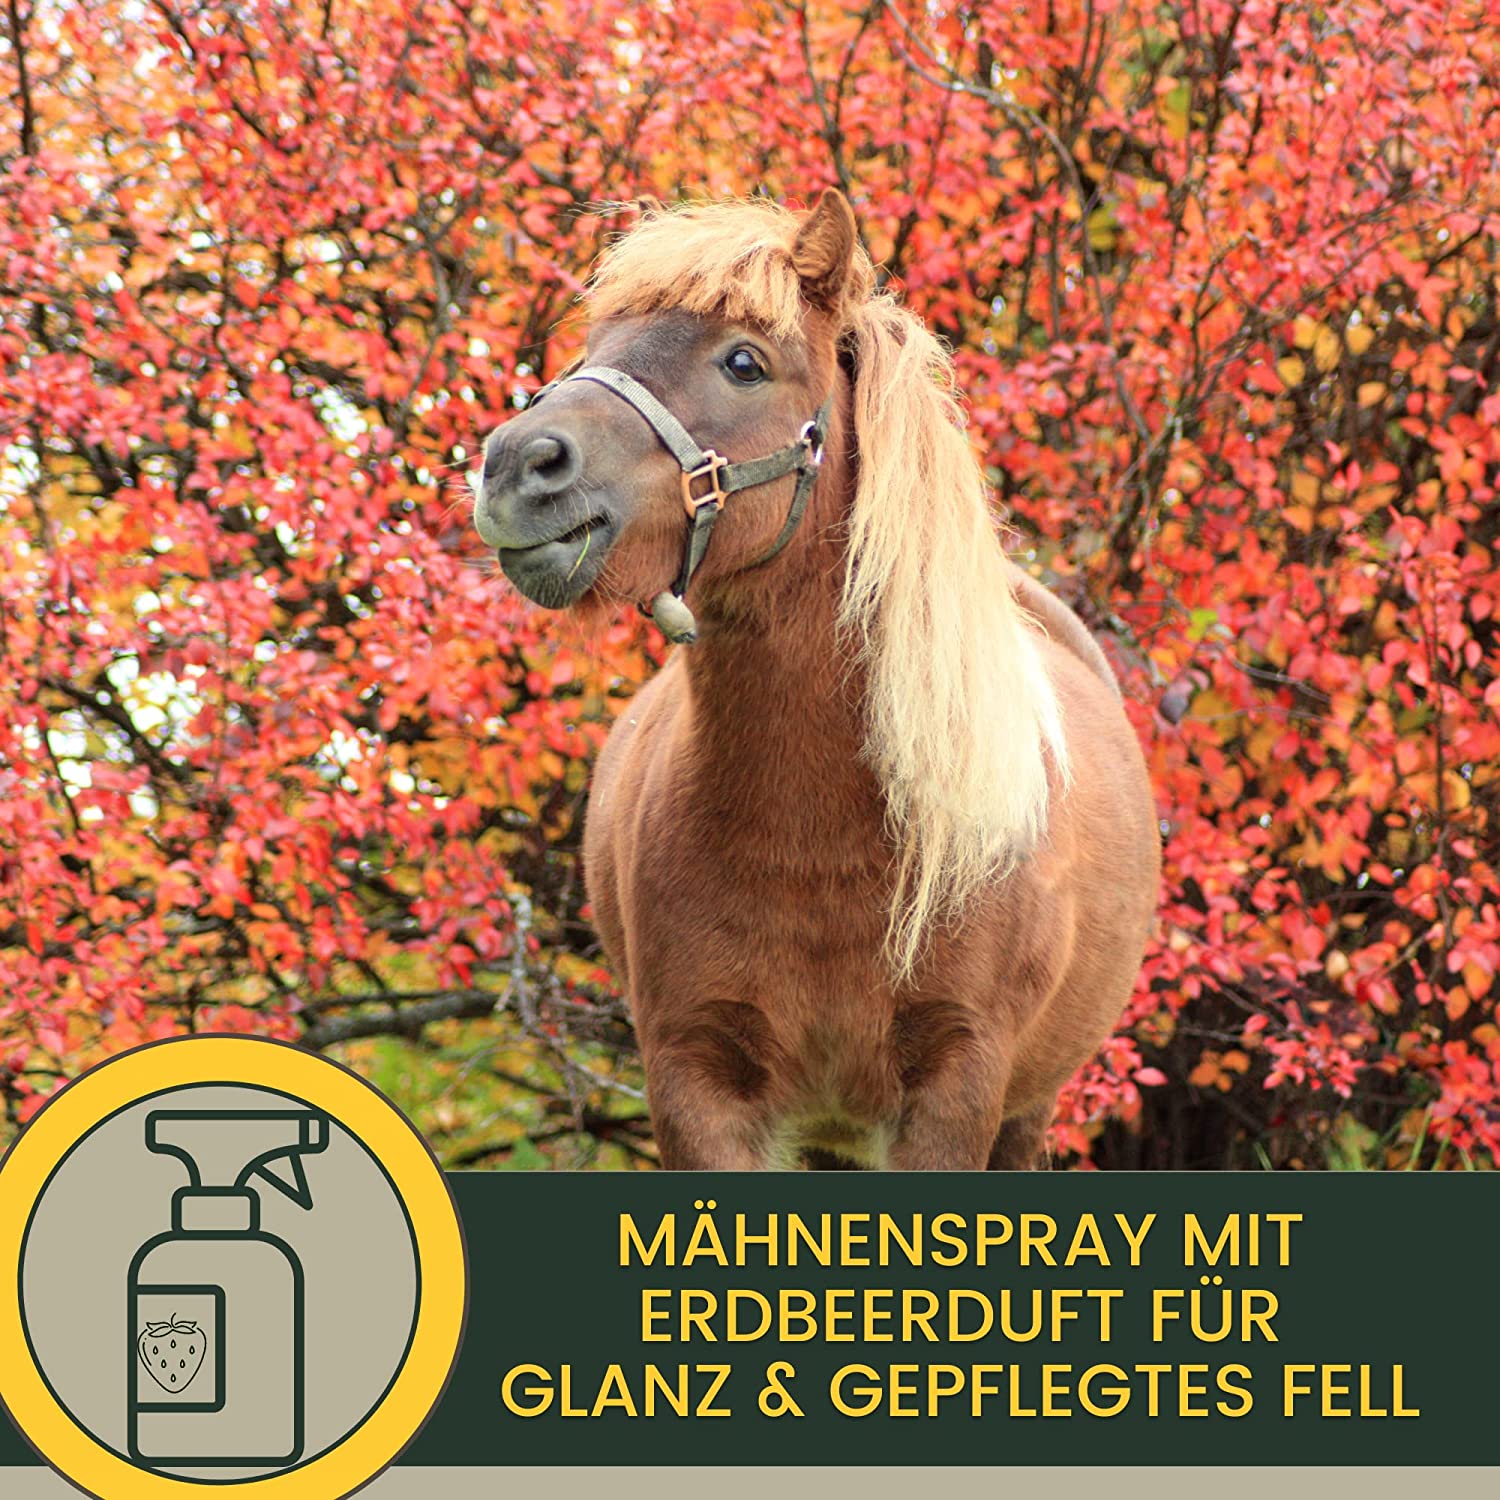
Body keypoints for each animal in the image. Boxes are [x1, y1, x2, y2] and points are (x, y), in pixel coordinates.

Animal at [472, 190, 1160, 1169]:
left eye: (744, 362)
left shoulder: (959, 1085)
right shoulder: (695, 1078)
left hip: (1028, 1110)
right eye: (595, 344)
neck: (821, 838)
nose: (517, 466)